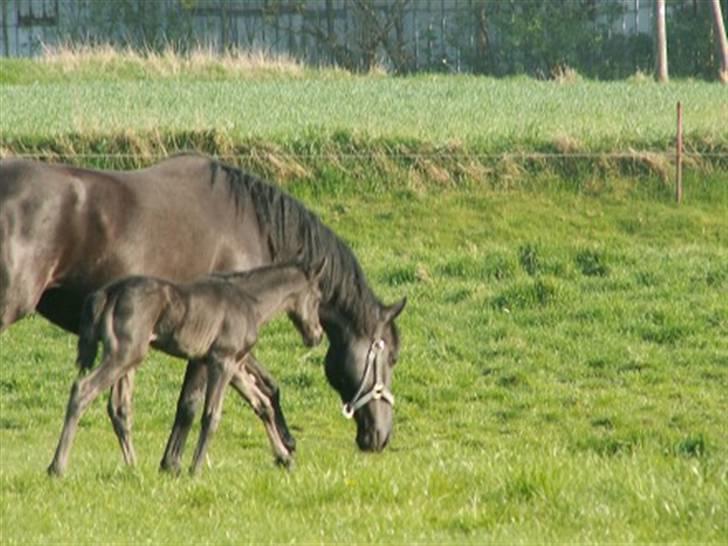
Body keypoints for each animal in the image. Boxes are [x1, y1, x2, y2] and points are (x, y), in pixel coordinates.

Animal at [0, 153, 406, 468]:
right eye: (388, 357)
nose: (381, 436)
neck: (250, 223)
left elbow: (265, 387)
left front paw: (285, 446)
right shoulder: (212, 346)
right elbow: (191, 405)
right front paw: (173, 464)